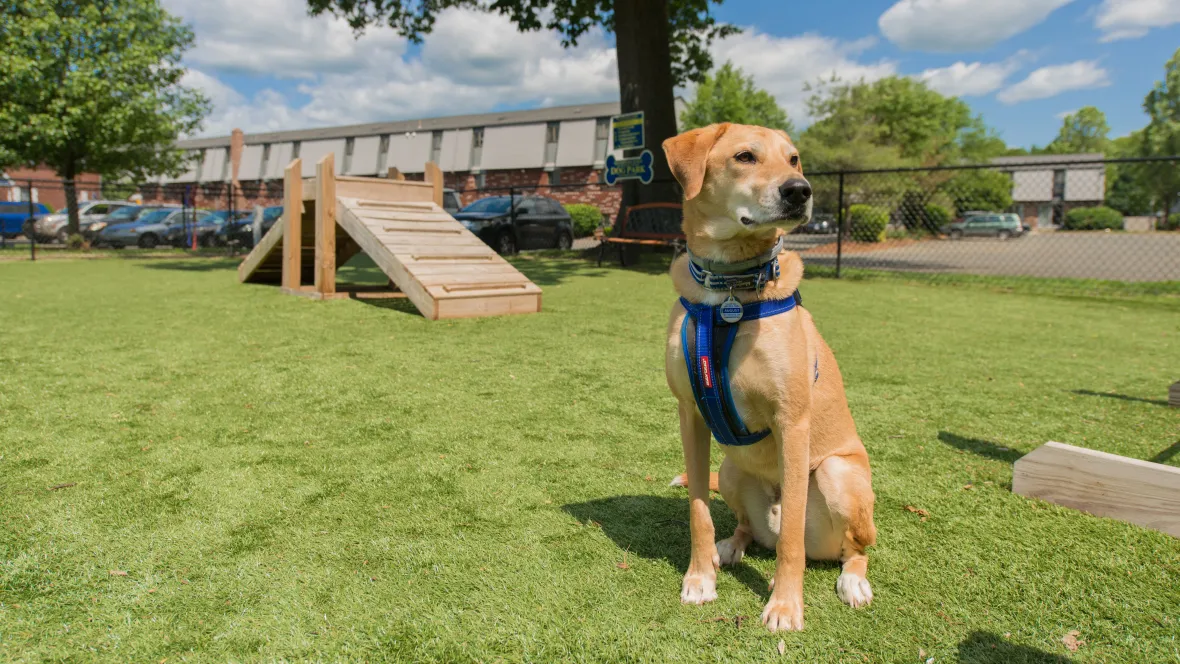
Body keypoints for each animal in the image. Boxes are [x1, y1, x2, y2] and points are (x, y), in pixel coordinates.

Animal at [665, 123, 877, 632]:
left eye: (794, 158)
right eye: (745, 156)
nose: (800, 191)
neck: (728, 288)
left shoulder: (792, 422)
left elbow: (790, 541)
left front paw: (784, 606)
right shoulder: (690, 415)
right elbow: (698, 511)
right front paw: (700, 579)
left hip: (839, 474)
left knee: (855, 548)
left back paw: (853, 581)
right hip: (732, 470)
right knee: (746, 526)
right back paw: (729, 547)